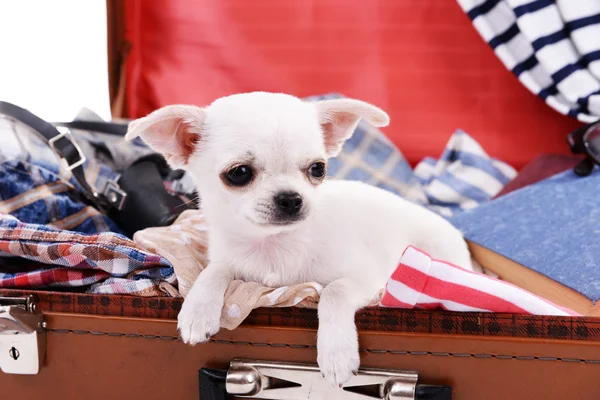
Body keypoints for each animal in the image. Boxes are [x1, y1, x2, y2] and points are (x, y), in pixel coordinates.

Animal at [125, 92, 474, 386]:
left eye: (318, 169)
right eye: (239, 173)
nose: (291, 198)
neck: (272, 244)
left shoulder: (369, 277)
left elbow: (333, 291)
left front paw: (336, 352)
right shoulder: (230, 258)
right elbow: (214, 270)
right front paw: (197, 309)